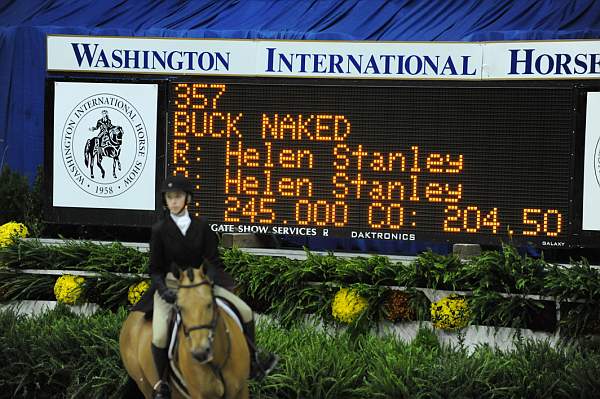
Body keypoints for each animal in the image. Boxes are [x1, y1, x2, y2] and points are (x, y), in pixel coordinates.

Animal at [119, 268, 251, 399]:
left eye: (209, 304)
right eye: (181, 308)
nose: (201, 353)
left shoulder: (241, 390)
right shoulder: (200, 394)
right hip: (144, 383)